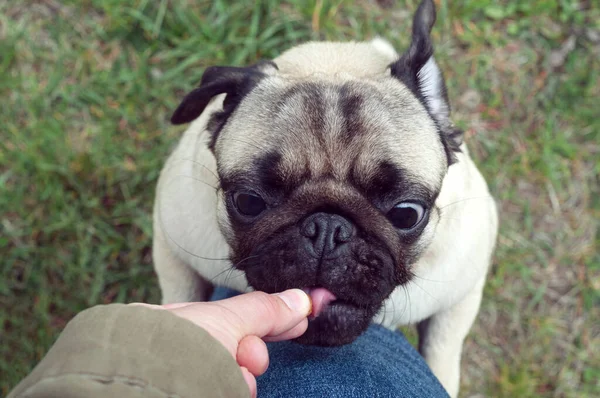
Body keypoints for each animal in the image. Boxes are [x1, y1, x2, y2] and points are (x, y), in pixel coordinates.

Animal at [154, 1, 496, 396]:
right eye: (248, 201)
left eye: (407, 214)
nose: (327, 228)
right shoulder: (172, 245)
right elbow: (181, 298)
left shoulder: (462, 291)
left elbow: (442, 352)